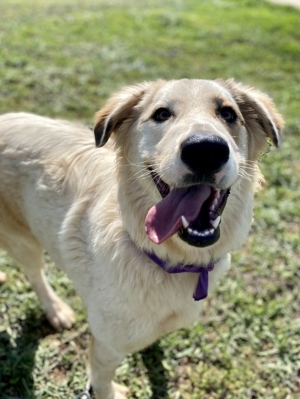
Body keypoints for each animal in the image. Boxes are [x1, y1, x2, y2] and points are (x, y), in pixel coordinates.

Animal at [0, 79, 282, 398]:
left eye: (228, 113)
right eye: (161, 114)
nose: (205, 150)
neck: (167, 260)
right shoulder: (106, 345)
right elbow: (102, 383)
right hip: (22, 242)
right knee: (35, 274)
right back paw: (56, 310)